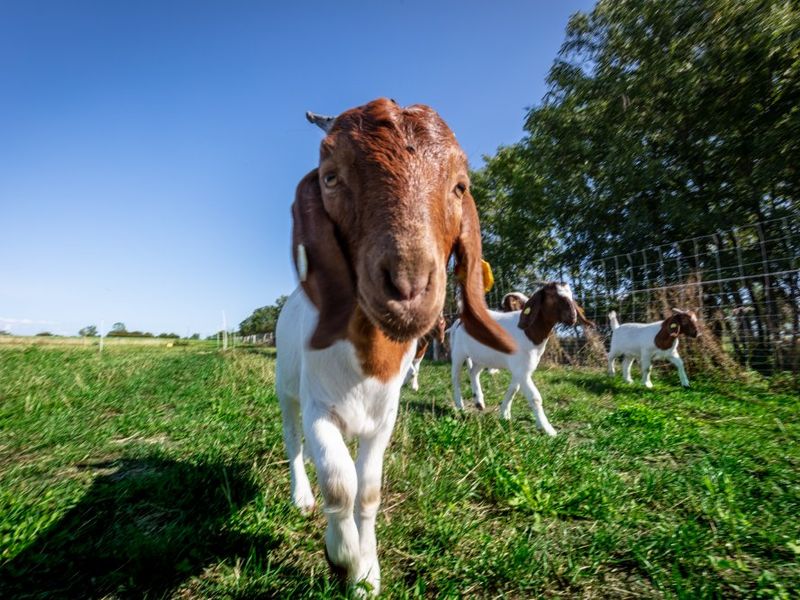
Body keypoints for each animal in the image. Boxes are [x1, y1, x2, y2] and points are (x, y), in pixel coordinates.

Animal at [276, 98, 516, 596]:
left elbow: (367, 489)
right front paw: (341, 556)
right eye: (330, 177)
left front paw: (367, 573)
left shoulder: (384, 416)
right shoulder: (318, 408)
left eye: (460, 186)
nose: (407, 285)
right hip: (286, 393)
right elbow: (338, 483)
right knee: (293, 445)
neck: (368, 361)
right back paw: (301, 497)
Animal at [450, 284, 592, 434]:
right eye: (552, 295)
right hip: (458, 352)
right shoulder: (521, 370)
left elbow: (513, 389)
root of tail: (460, 319)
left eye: (571, 295)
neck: (529, 332)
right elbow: (535, 398)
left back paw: (479, 402)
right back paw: (460, 406)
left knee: (473, 372)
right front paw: (548, 429)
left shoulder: (522, 369)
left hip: (483, 357)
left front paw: (504, 414)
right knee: (456, 378)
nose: (572, 316)